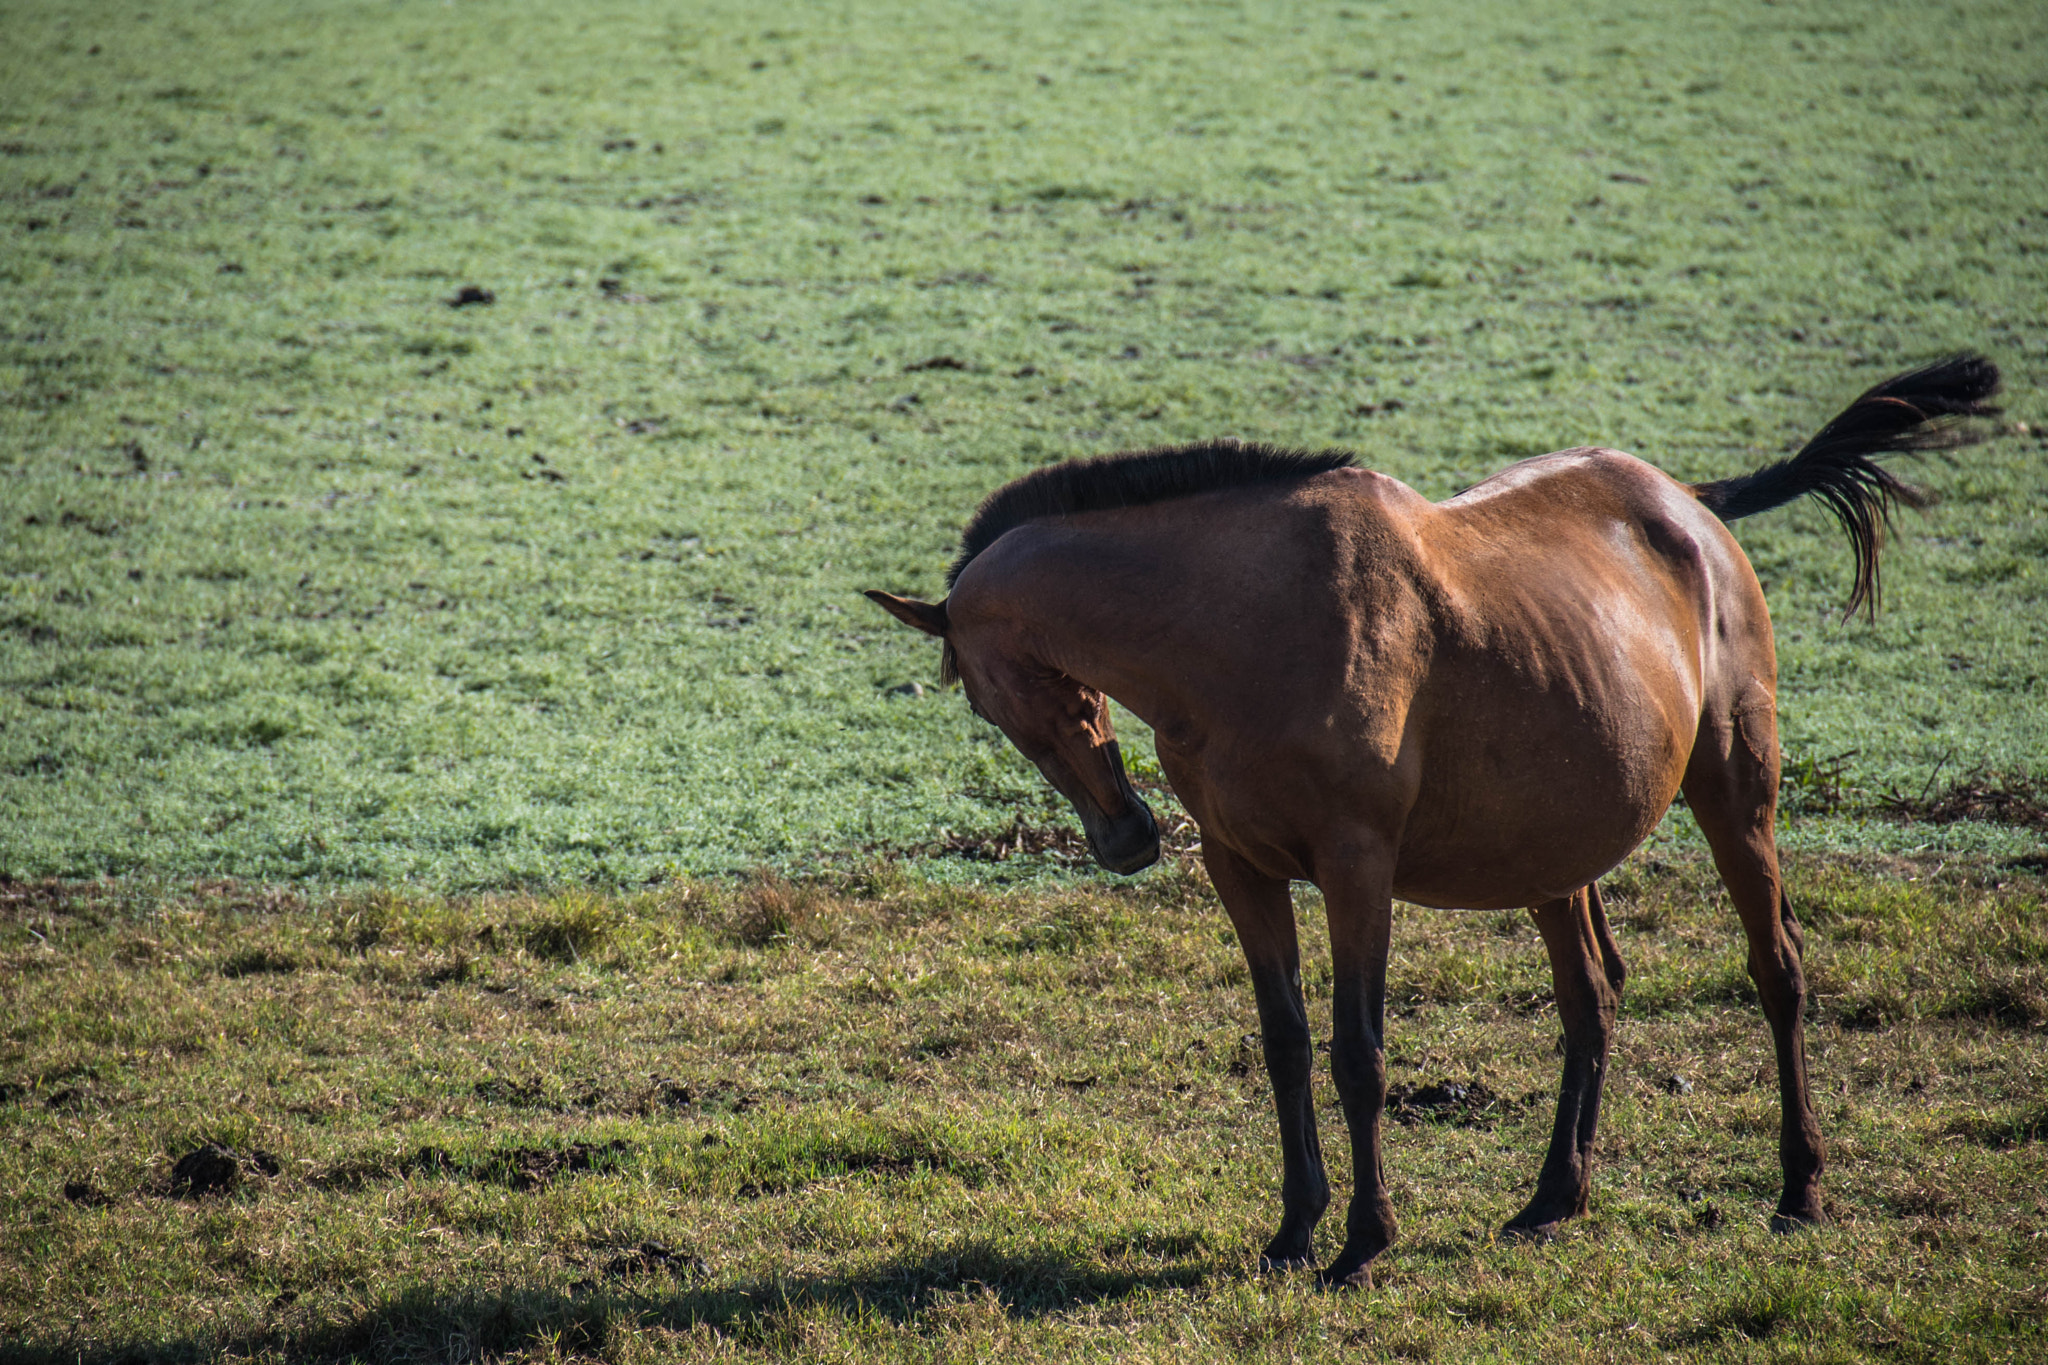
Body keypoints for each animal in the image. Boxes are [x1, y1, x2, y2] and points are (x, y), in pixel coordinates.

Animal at [860, 356, 1998, 1293]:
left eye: (982, 696)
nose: (1125, 838)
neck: (1242, 626)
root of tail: (1692, 507)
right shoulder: (1242, 869)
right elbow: (1284, 1043)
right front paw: (1291, 1232)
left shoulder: (1355, 868)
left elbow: (1357, 1052)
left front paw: (1363, 1243)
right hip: (1555, 856)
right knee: (1592, 995)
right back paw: (1552, 1200)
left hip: (1735, 793)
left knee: (1776, 969)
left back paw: (1798, 1191)